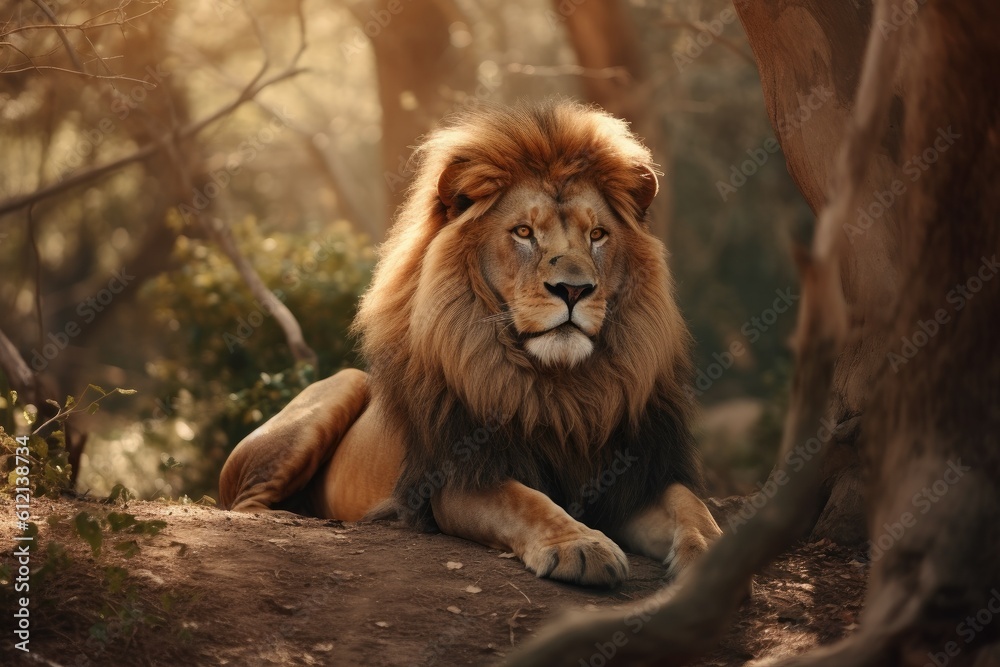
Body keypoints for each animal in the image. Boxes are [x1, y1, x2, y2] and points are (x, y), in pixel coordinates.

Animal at [219, 100, 723, 587]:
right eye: (524, 232)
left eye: (597, 235)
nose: (574, 289)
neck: (561, 390)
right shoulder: (459, 477)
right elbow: (526, 500)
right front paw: (580, 545)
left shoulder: (634, 474)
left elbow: (691, 505)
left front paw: (716, 553)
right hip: (339, 387)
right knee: (246, 505)